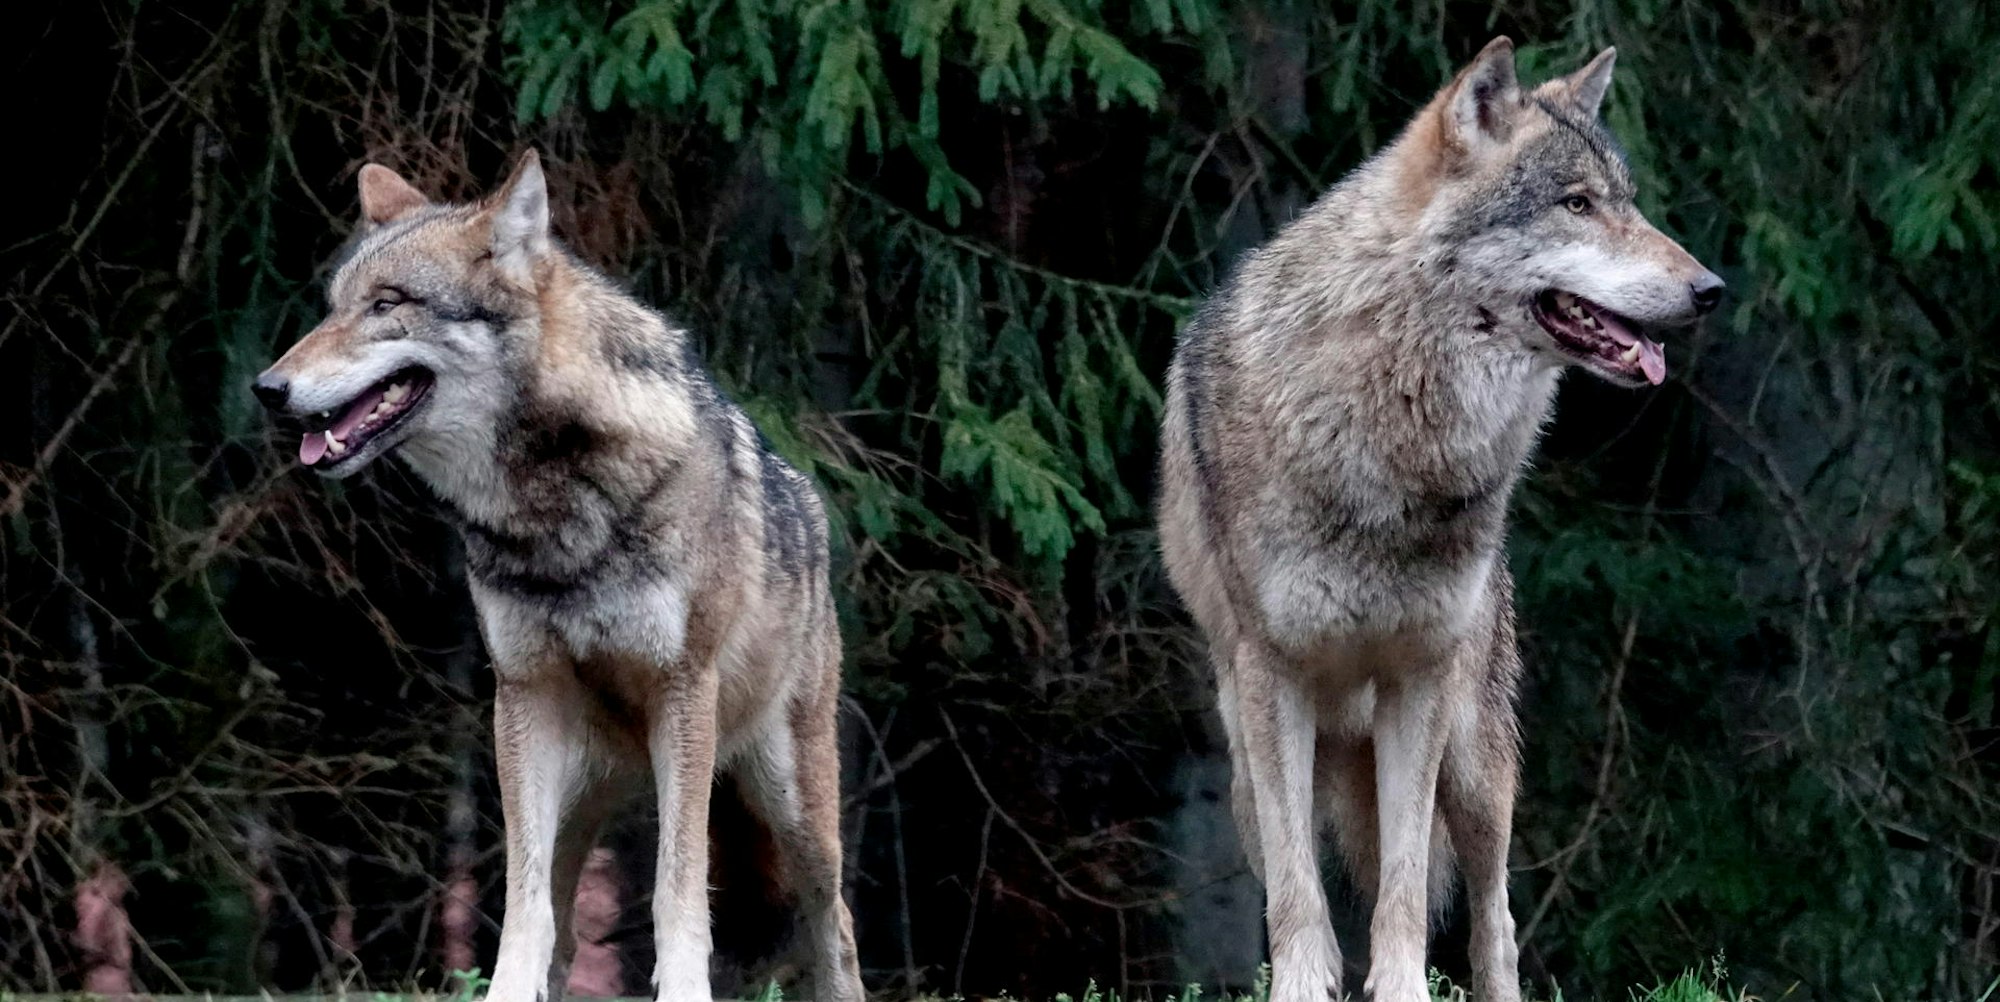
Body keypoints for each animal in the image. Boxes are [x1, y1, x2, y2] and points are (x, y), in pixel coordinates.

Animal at [254, 151, 865, 1002]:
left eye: (387, 305)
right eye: (334, 308)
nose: (267, 389)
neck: (554, 513)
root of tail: (811, 506)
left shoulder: (684, 690)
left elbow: (677, 891)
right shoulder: (523, 696)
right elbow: (524, 906)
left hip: (791, 804)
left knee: (834, 922)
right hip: (580, 794)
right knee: (568, 925)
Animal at [1158, 38, 1722, 1002]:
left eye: (1629, 201)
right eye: (1577, 204)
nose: (1710, 289)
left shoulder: (1418, 678)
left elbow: (1405, 888)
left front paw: (1401, 990)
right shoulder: (1274, 680)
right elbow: (1302, 900)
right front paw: (1305, 988)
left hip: (1476, 765)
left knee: (1493, 919)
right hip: (1245, 764)